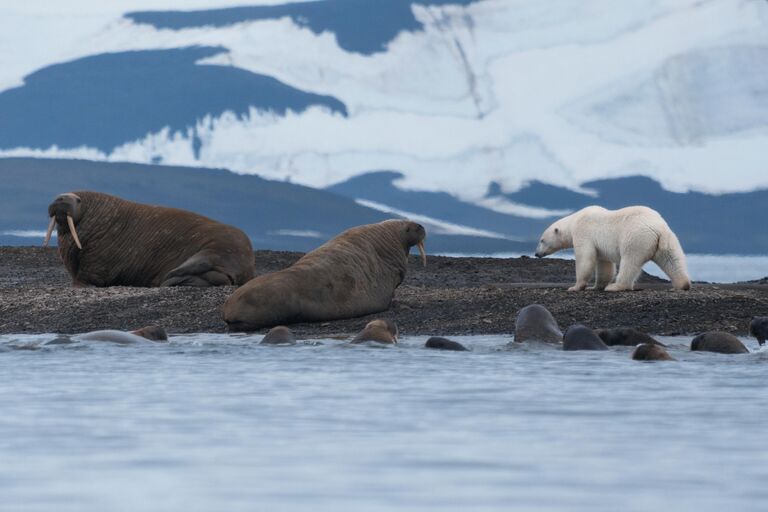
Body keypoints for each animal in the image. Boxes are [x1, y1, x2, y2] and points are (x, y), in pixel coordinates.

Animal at [536, 205, 688, 292]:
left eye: (542, 240)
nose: (537, 253)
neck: (574, 221)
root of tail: (657, 228)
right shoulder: (600, 247)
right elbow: (604, 265)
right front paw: (595, 286)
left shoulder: (583, 232)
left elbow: (585, 258)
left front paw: (575, 287)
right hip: (668, 239)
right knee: (672, 260)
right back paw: (683, 284)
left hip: (635, 237)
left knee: (630, 262)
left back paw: (616, 286)